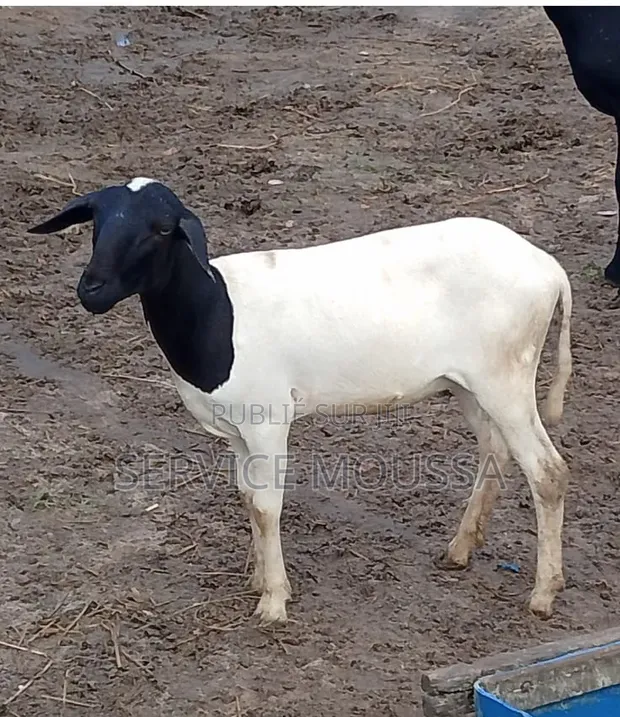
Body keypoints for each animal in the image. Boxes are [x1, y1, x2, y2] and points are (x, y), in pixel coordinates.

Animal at [28, 177, 573, 625]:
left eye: (162, 229)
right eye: (96, 222)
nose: (91, 289)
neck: (216, 311)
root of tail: (548, 267)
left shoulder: (268, 419)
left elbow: (268, 506)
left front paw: (274, 601)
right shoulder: (238, 428)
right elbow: (248, 498)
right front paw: (257, 578)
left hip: (507, 375)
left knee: (547, 472)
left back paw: (544, 594)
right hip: (469, 383)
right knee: (494, 451)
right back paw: (460, 550)